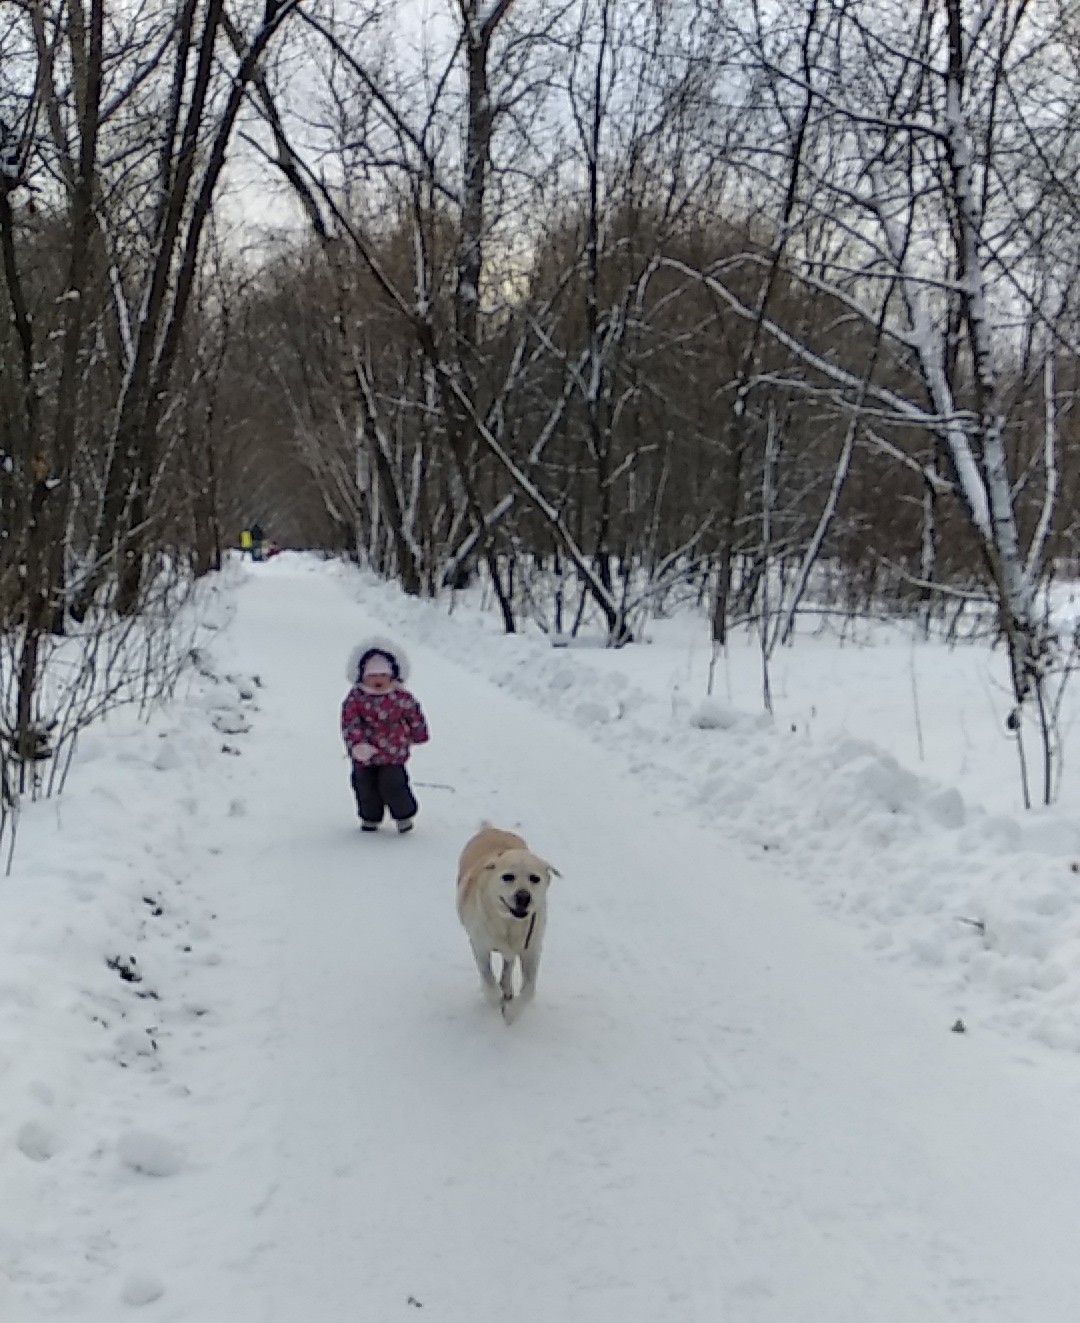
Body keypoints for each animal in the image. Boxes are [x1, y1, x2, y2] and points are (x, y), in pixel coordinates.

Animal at [455, 825, 561, 1021]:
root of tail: (491, 828)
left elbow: (529, 989)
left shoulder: (532, 949)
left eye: (534, 878)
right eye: (508, 877)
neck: (509, 923)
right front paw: (494, 998)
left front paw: (511, 1013)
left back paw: (507, 988)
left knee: (509, 964)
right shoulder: (479, 945)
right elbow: (487, 977)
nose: (523, 896)